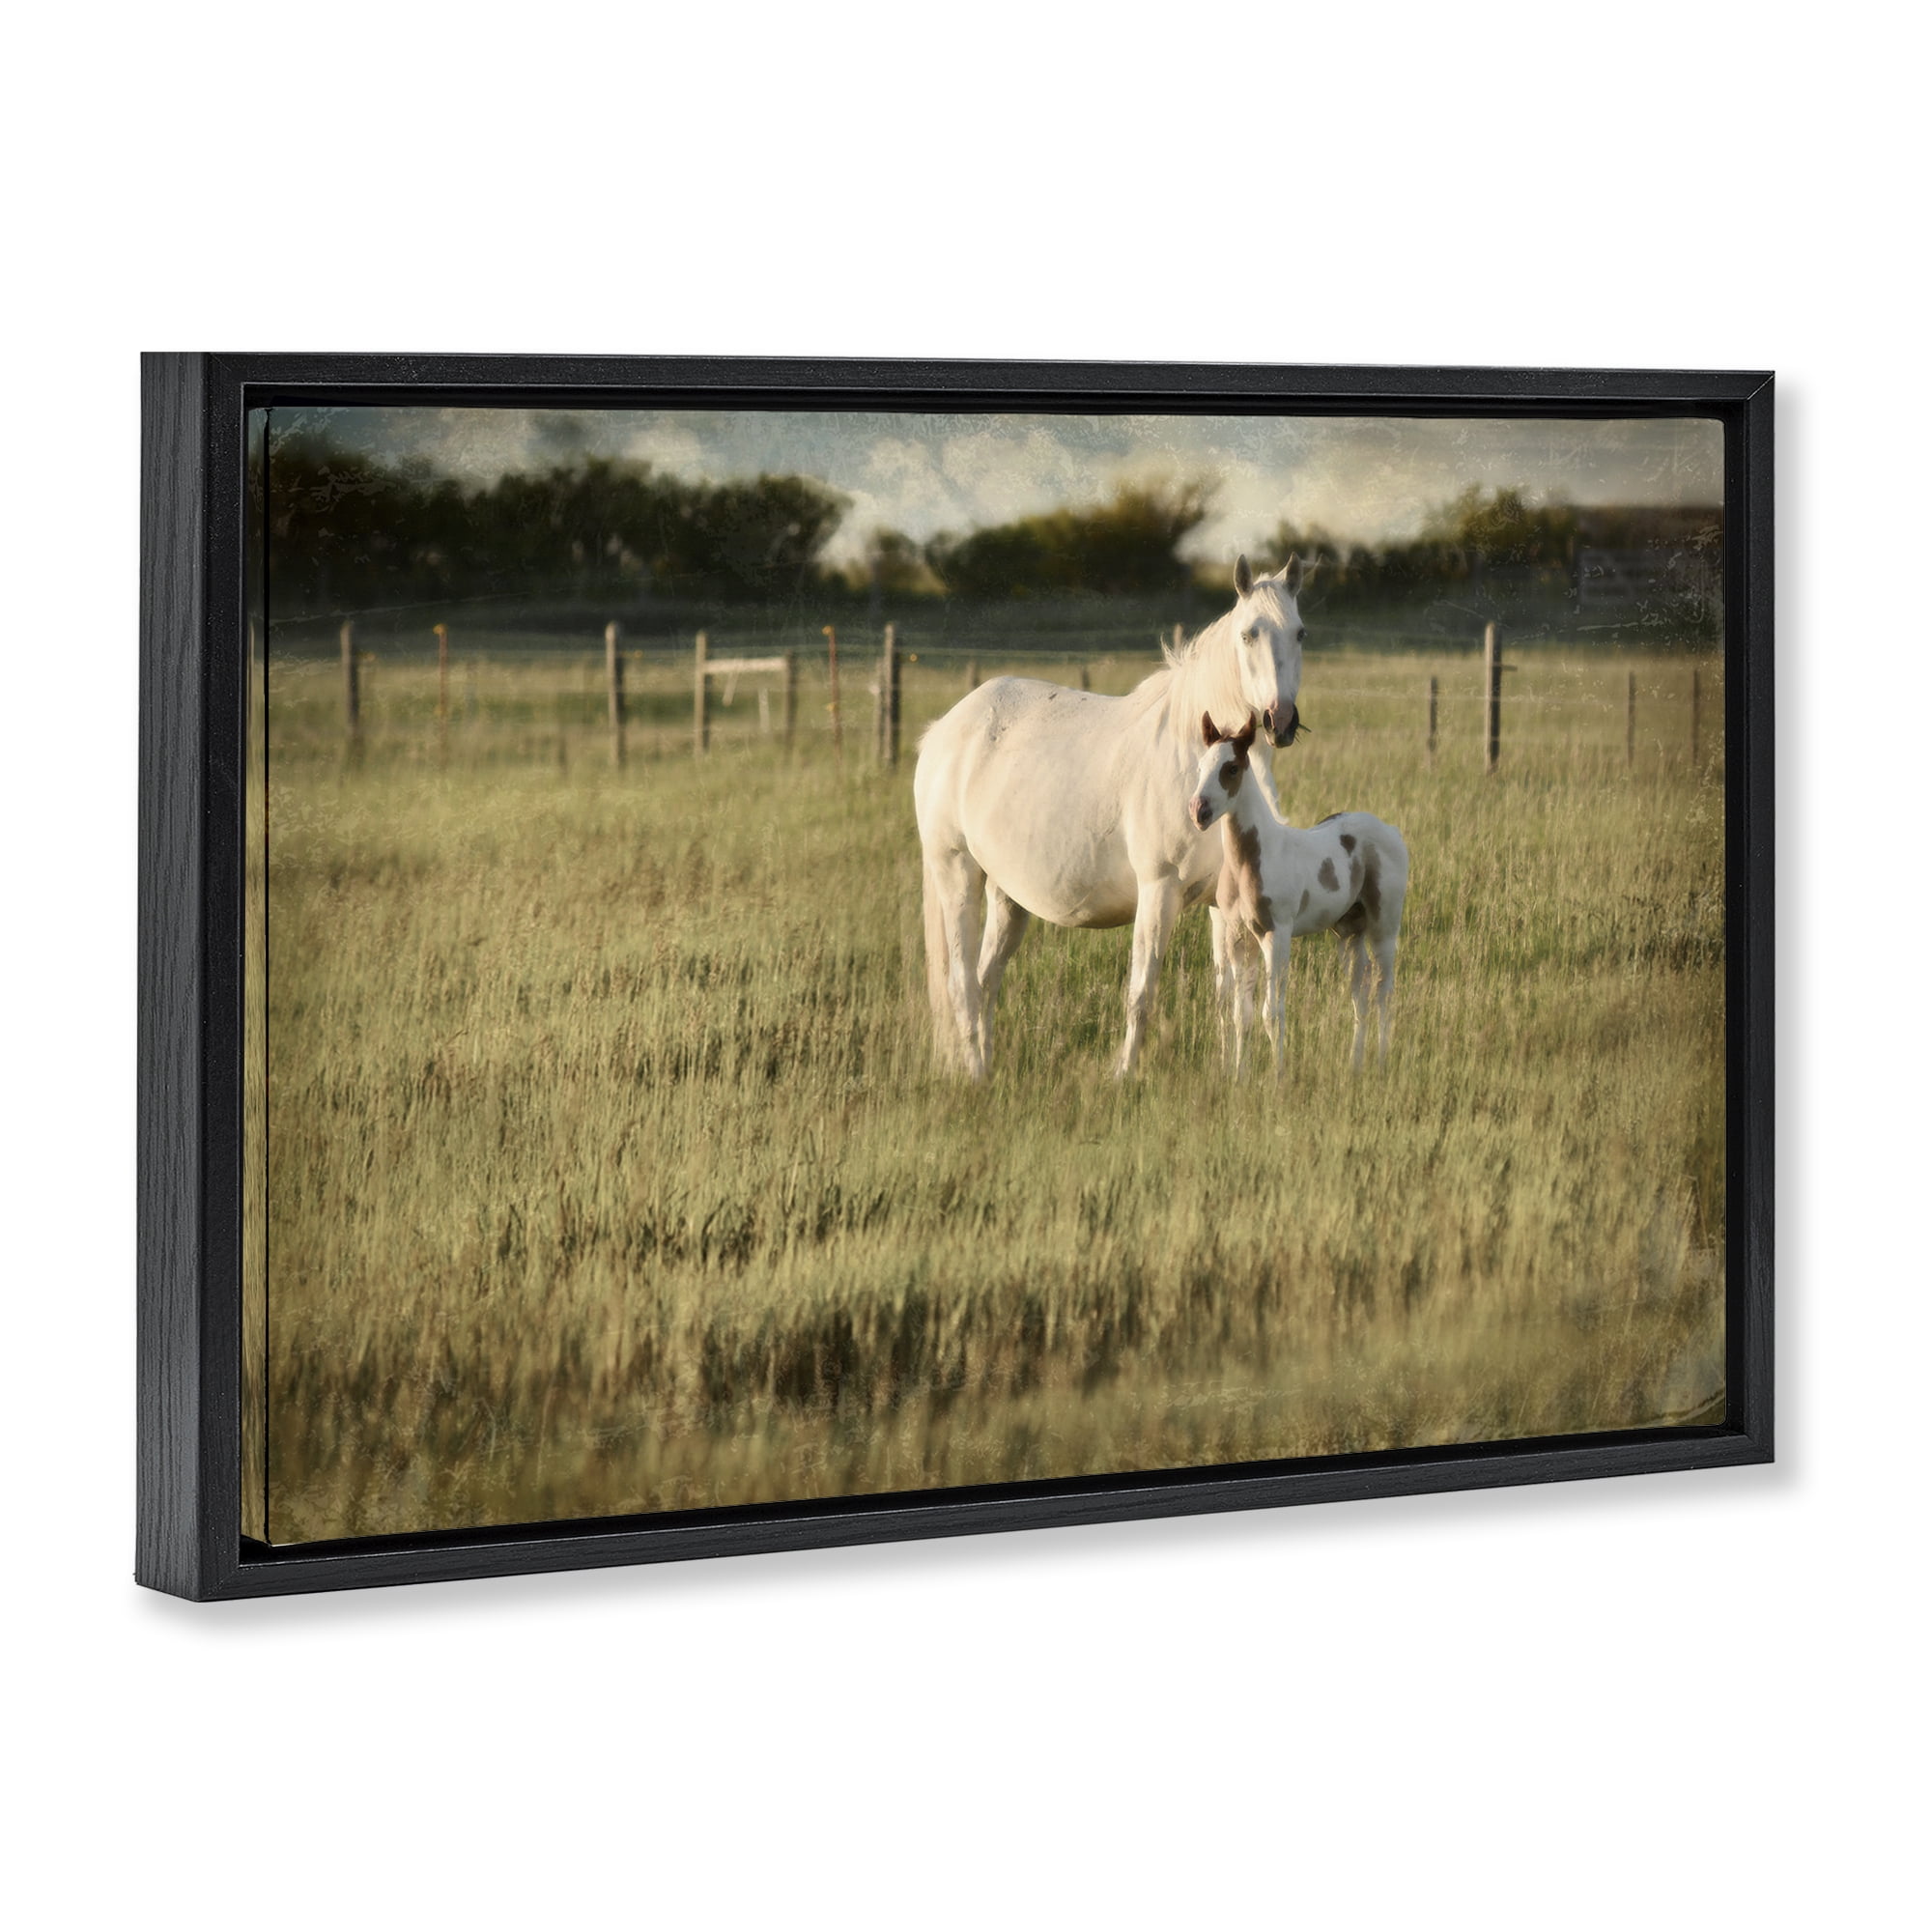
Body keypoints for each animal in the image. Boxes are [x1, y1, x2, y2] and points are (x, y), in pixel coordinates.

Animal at [914, 555, 1307, 1080]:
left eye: (1300, 632)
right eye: (1249, 634)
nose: (1279, 720)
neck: (1190, 757)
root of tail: (943, 730)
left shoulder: (1222, 904)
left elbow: (1230, 998)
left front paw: (1231, 1073)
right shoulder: (1158, 891)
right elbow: (1142, 993)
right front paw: (1123, 1074)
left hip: (1007, 897)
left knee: (985, 981)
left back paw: (987, 1066)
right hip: (957, 874)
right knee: (962, 984)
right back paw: (977, 1075)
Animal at [1187, 713, 1409, 1077]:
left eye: (1231, 768)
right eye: (1202, 765)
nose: (1198, 811)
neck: (1251, 860)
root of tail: (1391, 831)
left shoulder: (1276, 935)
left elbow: (1271, 1013)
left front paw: (1278, 1075)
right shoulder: (1238, 937)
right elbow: (1241, 1014)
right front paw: (1239, 1075)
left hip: (1384, 927)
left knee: (1384, 992)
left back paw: (1381, 1063)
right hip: (1349, 932)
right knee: (1360, 991)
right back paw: (1355, 1065)